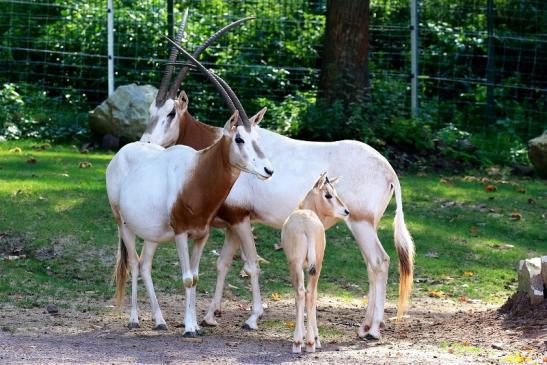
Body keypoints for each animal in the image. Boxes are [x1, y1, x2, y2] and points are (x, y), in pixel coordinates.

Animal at [282, 172, 352, 352]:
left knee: (302, 292)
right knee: (309, 293)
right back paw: (308, 342)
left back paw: (300, 342)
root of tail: (306, 225)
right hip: (314, 264)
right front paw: (314, 339)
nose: (346, 211)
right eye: (328, 194)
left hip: (296, 264)